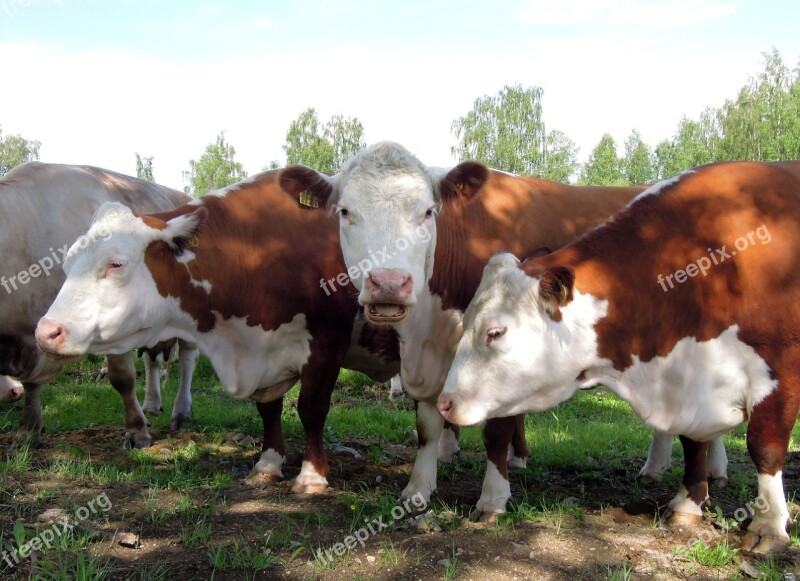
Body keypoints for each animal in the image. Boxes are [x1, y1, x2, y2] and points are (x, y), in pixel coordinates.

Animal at [0, 161, 198, 446]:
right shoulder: (38, 335)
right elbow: (32, 385)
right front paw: (28, 431)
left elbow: (122, 378)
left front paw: (136, 431)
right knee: (152, 359)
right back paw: (151, 404)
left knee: (187, 360)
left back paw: (181, 412)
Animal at [36, 169, 400, 494]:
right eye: (67, 264)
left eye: (116, 264)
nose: (45, 332)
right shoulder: (264, 354)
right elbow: (269, 409)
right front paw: (268, 464)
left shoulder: (326, 343)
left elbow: (312, 409)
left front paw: (311, 476)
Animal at [268, 142, 724, 516]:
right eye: (345, 212)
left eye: (427, 212)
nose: (389, 284)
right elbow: (428, 426)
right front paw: (418, 489)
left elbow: (496, 429)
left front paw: (492, 497)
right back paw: (669, 467)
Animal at [438, 159, 800, 552]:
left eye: (496, 332)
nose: (444, 402)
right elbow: (692, 442)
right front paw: (687, 504)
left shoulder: (781, 371)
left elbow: (764, 446)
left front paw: (768, 526)